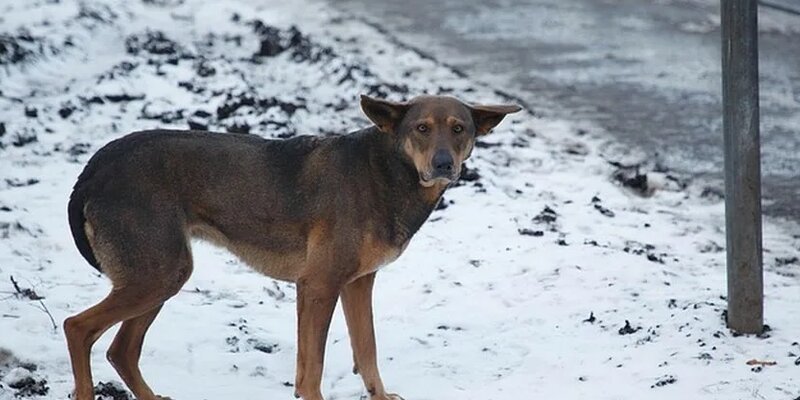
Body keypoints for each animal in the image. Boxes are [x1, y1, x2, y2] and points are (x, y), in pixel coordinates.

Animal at [65, 94, 520, 400]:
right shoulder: (319, 285)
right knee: (78, 328)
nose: (445, 165)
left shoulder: (357, 284)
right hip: (157, 274)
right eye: (421, 128)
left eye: (459, 129)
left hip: (160, 275)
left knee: (122, 351)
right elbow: (312, 368)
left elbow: (366, 350)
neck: (388, 171)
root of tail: (92, 169)